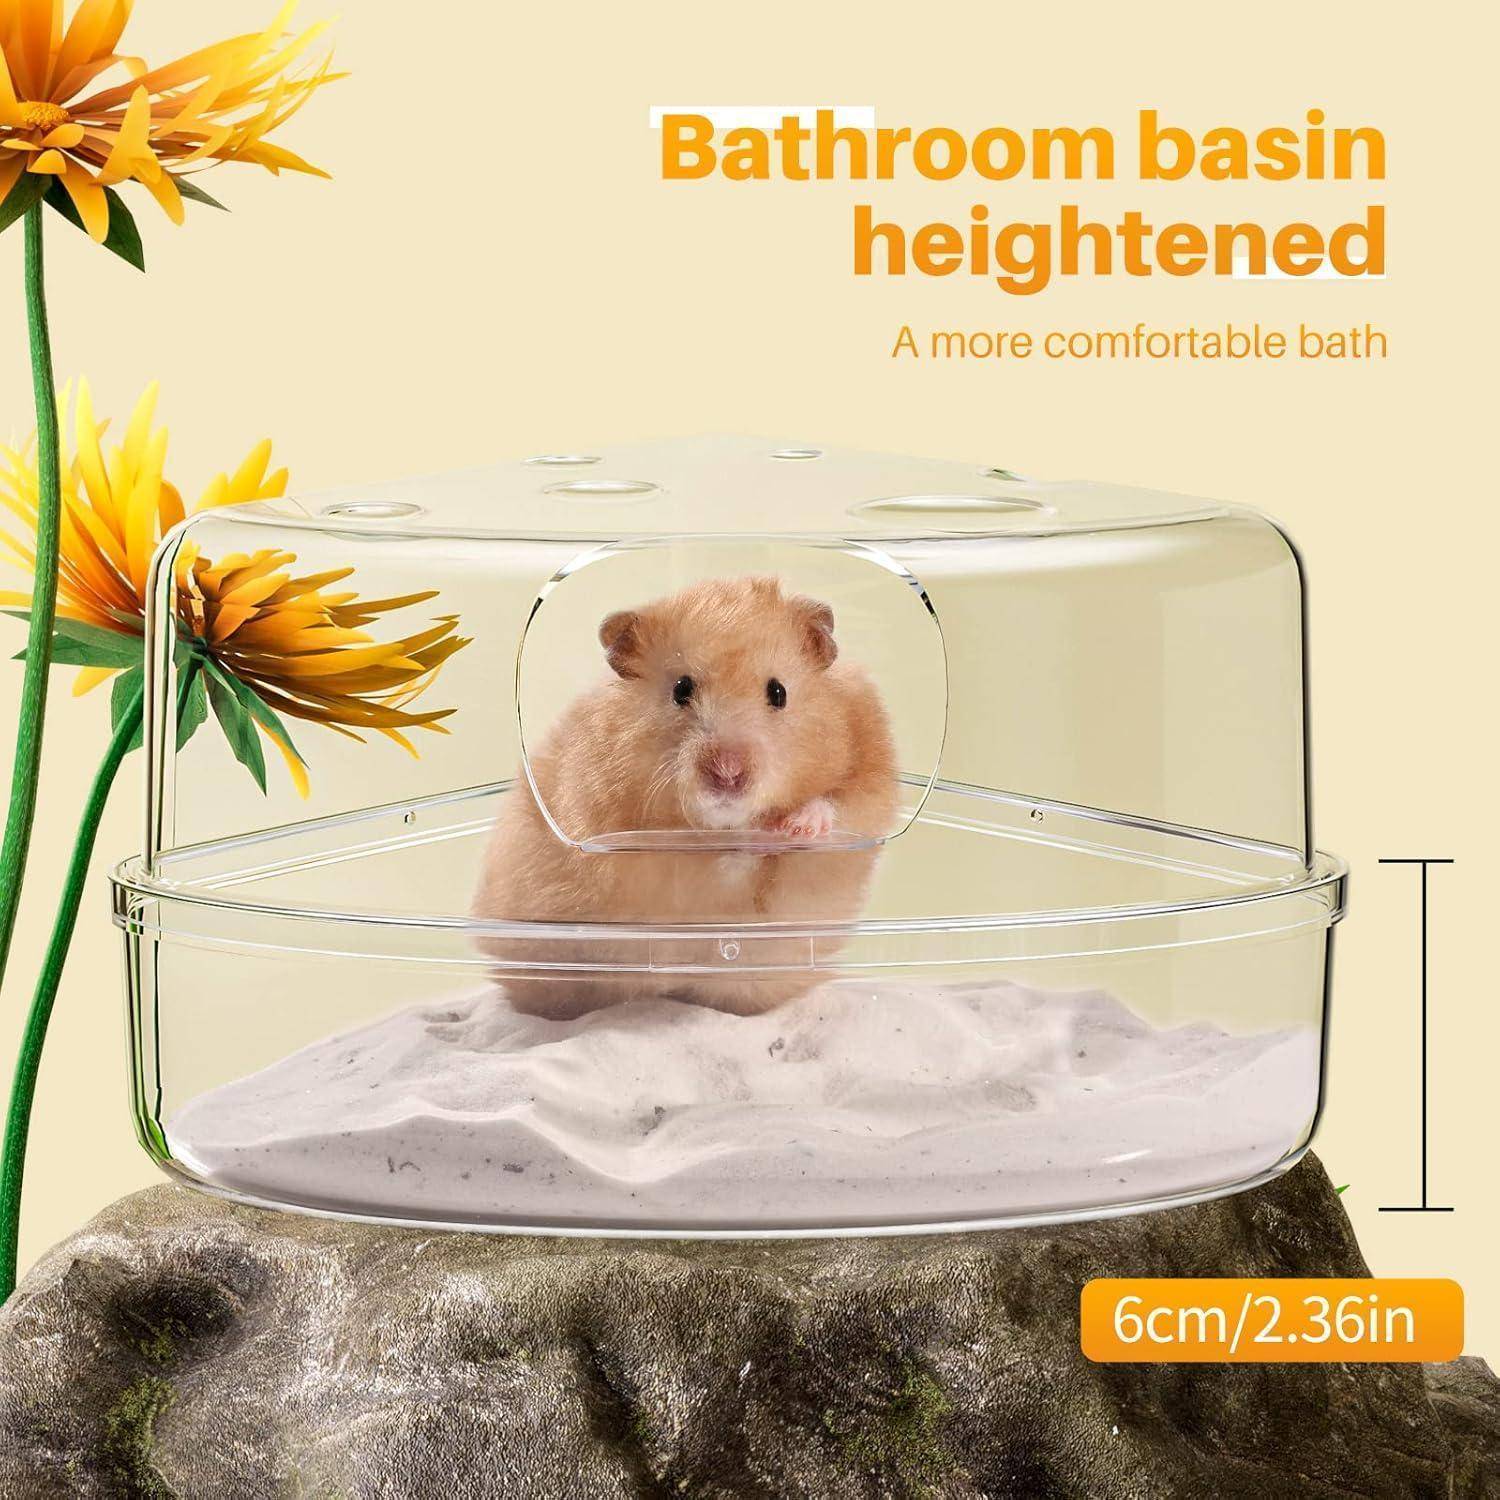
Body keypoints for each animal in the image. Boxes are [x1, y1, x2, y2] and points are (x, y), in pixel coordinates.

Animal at [475, 575, 899, 1017]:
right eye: (681, 689)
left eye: (779, 692)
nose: (728, 774)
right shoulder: (641, 862)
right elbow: (718, 866)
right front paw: (763, 837)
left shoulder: (871, 776)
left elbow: (846, 807)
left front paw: (797, 828)